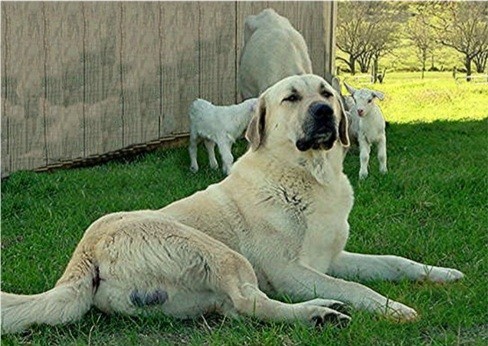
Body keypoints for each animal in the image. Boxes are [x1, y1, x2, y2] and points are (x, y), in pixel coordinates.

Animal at [0, 75, 466, 332]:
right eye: (291, 98)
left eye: (326, 93)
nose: (324, 112)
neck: (310, 177)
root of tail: (84, 253)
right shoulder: (290, 272)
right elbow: (356, 287)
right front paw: (393, 307)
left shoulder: (330, 260)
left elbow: (394, 262)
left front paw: (440, 274)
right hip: (219, 251)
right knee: (248, 301)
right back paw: (321, 314)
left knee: (240, 310)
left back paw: (320, 313)